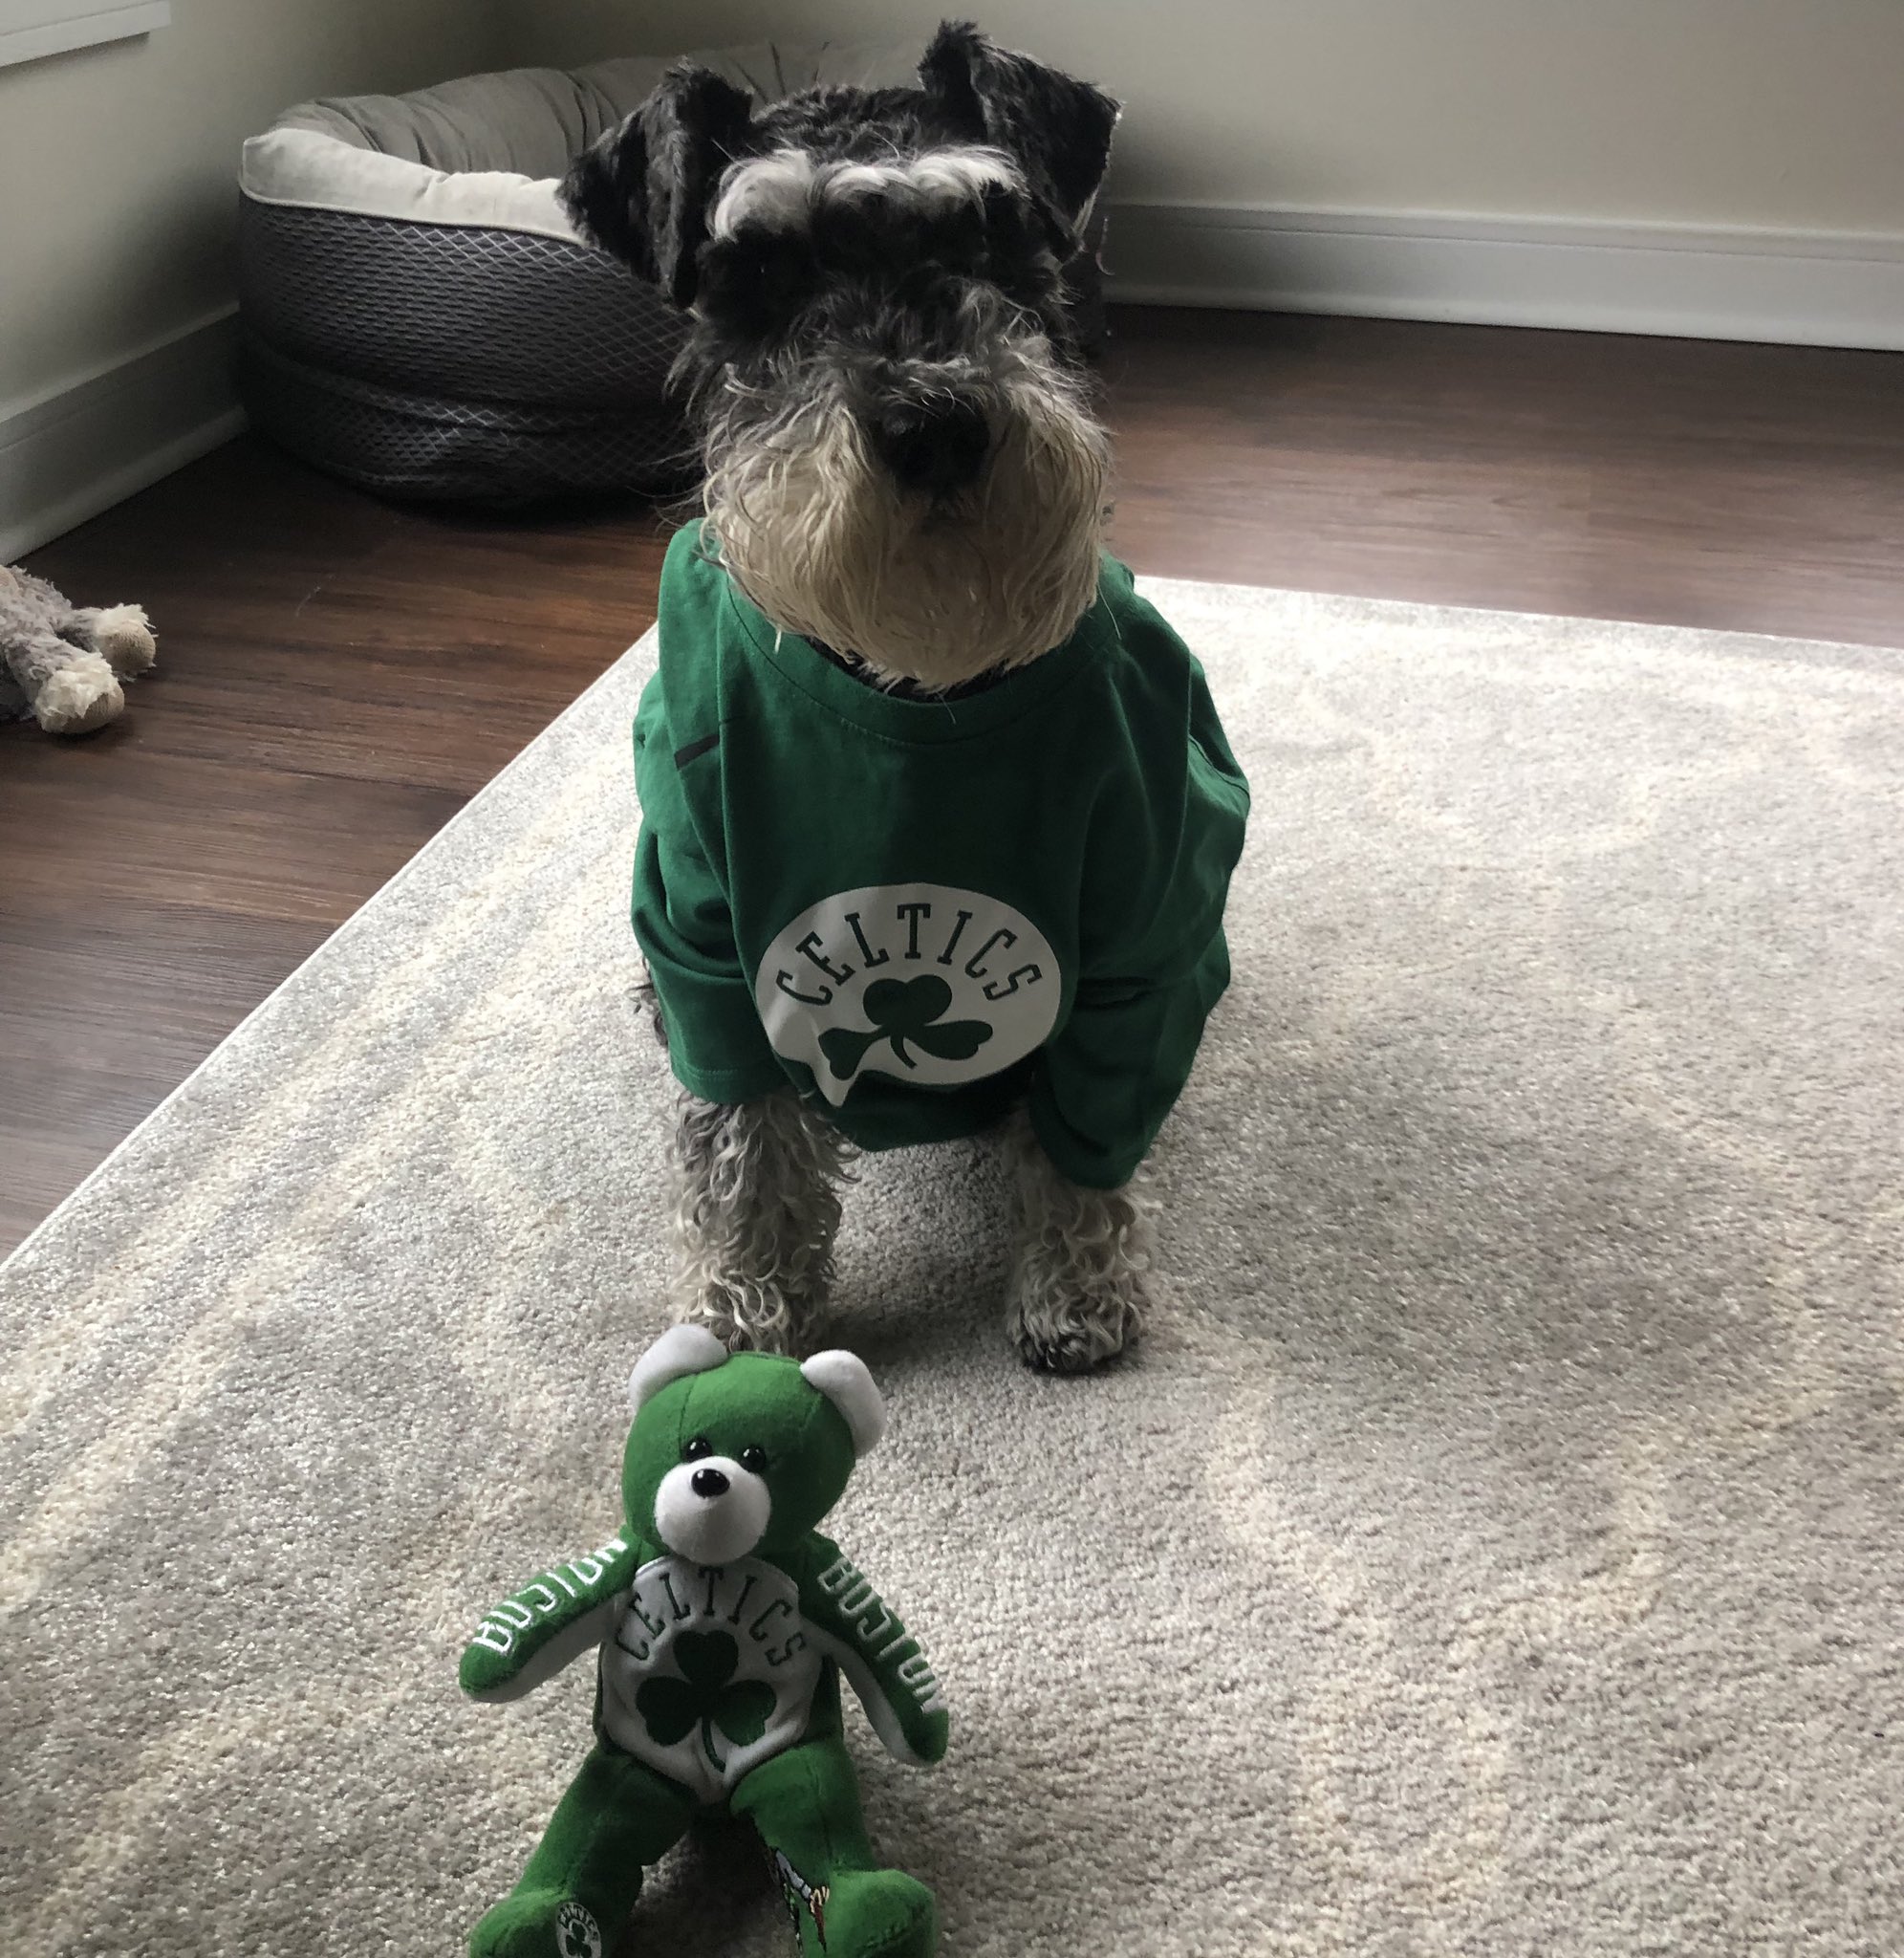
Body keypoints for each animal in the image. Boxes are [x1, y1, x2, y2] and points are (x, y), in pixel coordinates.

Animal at [563, 27, 1244, 1378]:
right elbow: (746, 1137)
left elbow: (1089, 1134)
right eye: (762, 271)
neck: (919, 676)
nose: (934, 421)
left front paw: (1076, 1284)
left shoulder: (1138, 944)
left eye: (991, 235)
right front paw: (749, 1311)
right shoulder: (707, 944)